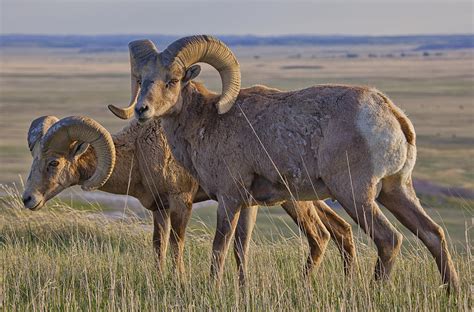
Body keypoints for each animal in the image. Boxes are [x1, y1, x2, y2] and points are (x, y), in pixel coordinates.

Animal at [22, 115, 356, 280]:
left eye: (54, 162)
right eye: (35, 158)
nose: (28, 200)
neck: (140, 151)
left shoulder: (180, 202)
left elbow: (176, 245)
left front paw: (179, 282)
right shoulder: (158, 209)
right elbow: (158, 246)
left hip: (293, 202)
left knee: (320, 236)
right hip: (308, 200)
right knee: (341, 230)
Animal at [110, 34, 460, 292]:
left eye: (172, 80)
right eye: (143, 79)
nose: (141, 110)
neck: (207, 121)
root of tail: (390, 113)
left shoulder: (229, 197)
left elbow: (219, 247)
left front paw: (213, 288)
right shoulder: (248, 204)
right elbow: (241, 248)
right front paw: (242, 289)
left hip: (355, 195)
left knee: (389, 239)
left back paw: (372, 292)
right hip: (395, 191)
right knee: (433, 234)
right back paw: (452, 292)